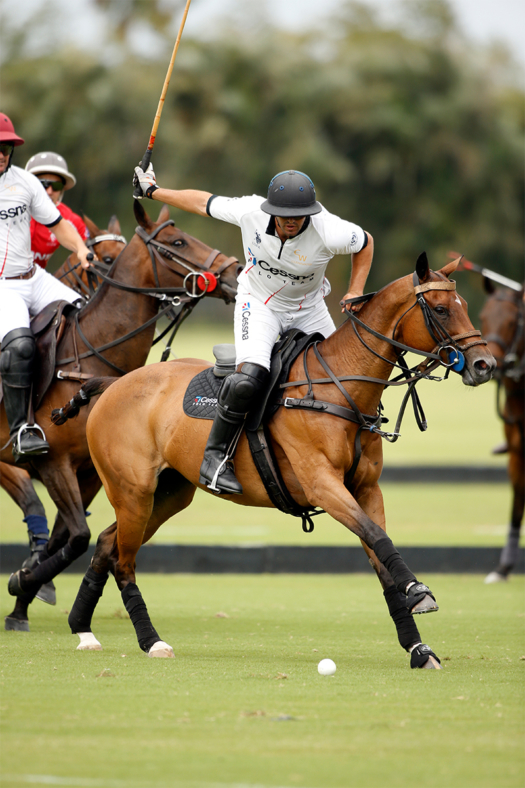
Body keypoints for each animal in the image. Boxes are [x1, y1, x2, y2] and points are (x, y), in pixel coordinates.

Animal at [1, 200, 239, 632]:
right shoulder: (53, 462)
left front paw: (23, 595)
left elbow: (69, 536)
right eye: (177, 241)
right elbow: (77, 535)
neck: (92, 352)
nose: (233, 270)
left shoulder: (90, 473)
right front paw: (24, 583)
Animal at [58, 255, 496, 668]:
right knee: (124, 562)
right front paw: (419, 592)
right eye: (441, 309)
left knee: (107, 544)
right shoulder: (323, 484)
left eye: (464, 304)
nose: (484, 365)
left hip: (167, 495)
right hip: (132, 491)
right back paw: (152, 641)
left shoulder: (366, 489)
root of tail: (113, 384)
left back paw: (82, 628)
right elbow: (378, 536)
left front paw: (419, 648)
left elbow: (380, 553)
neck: (341, 389)